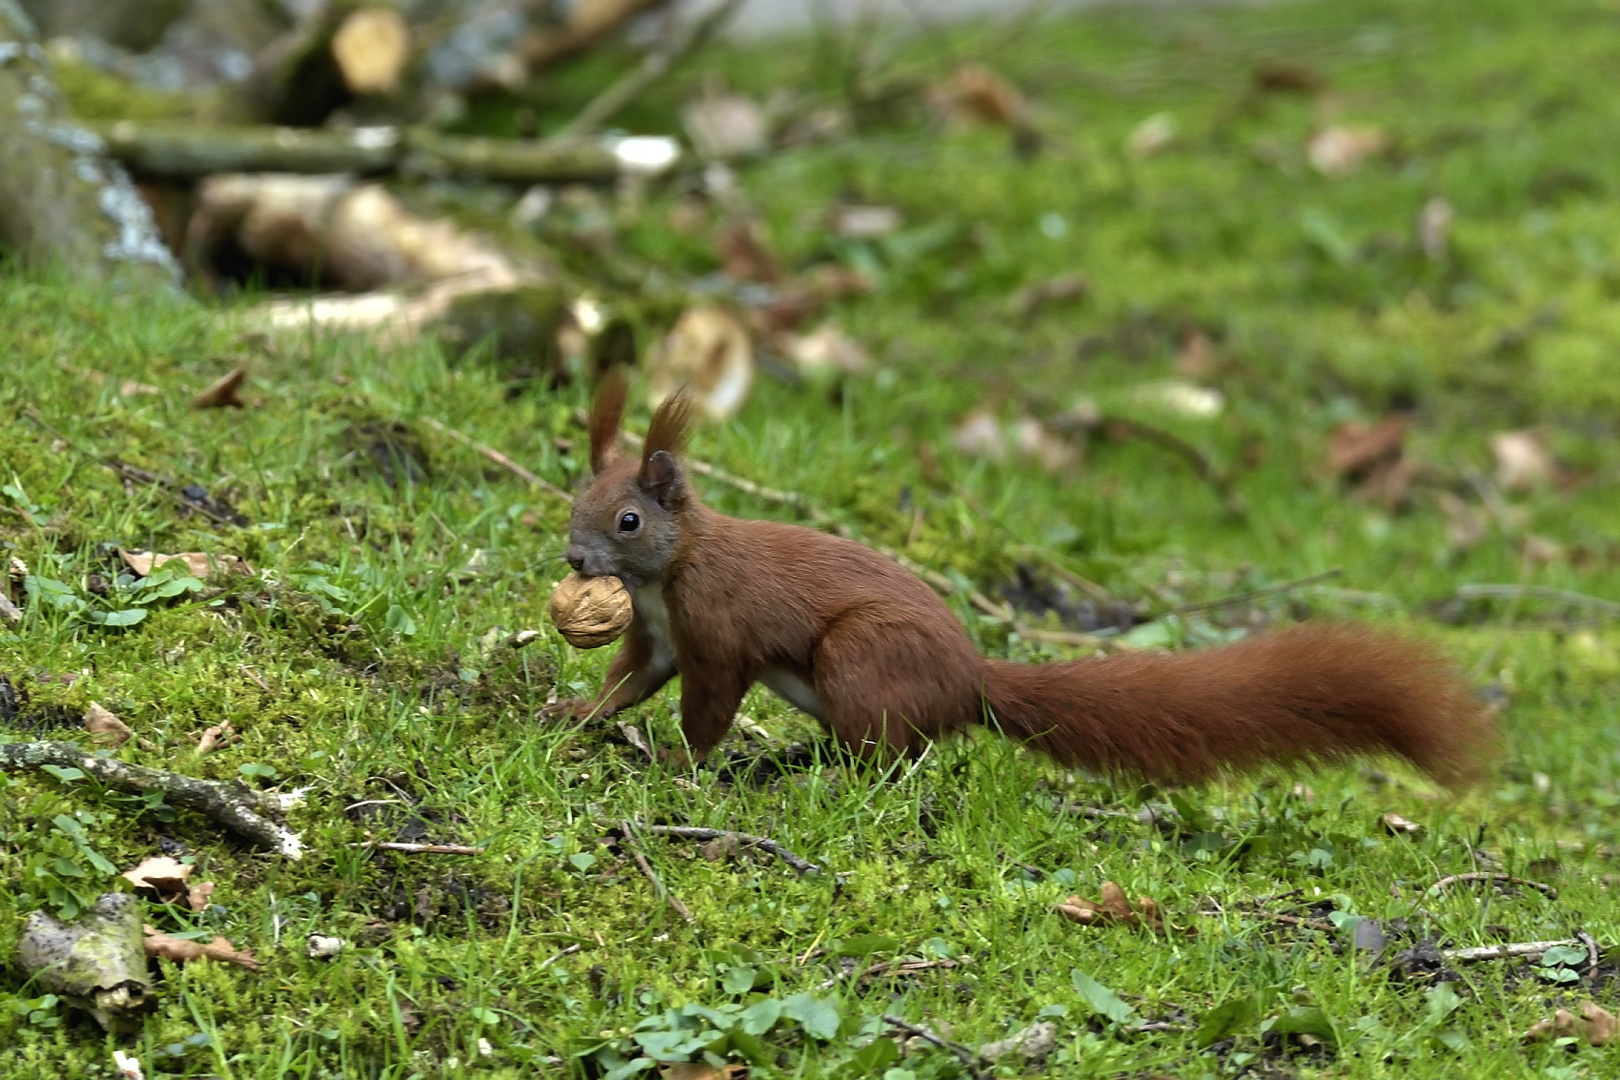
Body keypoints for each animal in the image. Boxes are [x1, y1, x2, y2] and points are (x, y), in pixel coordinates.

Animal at [554, 375, 1490, 790]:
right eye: (576, 500)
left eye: (628, 521)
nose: (574, 559)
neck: (670, 572)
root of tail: (971, 680)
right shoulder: (658, 634)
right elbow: (630, 682)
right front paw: (576, 713)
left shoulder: (718, 632)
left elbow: (707, 706)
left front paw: (680, 762)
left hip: (860, 657)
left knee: (889, 753)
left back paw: (814, 773)